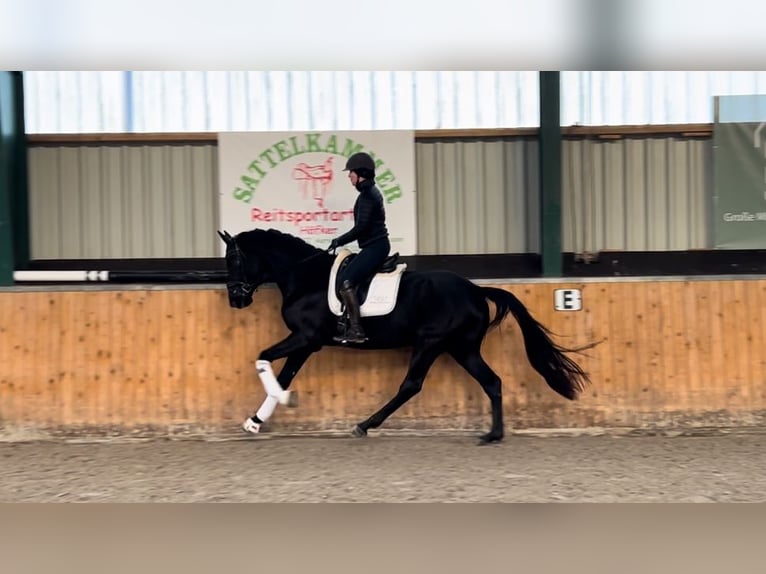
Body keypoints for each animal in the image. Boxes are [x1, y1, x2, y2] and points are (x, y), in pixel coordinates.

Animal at [219, 228, 596, 446]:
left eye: (234, 260)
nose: (236, 298)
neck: (305, 277)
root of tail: (475, 289)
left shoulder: (306, 337)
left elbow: (264, 359)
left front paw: (281, 403)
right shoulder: (306, 342)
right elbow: (283, 374)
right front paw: (255, 422)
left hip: (431, 343)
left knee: (411, 385)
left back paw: (364, 425)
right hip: (462, 348)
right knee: (492, 382)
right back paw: (492, 435)